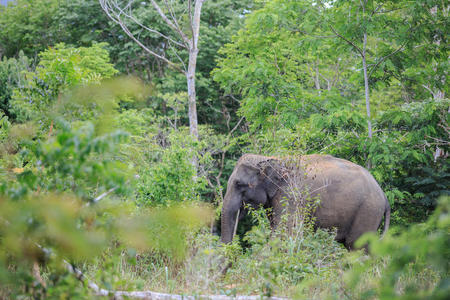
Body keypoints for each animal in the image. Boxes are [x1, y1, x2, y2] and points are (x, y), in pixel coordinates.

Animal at [221, 154, 390, 250]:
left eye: (238, 184)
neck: (273, 159)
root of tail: (384, 196)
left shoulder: (290, 194)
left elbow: (284, 231)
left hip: (367, 211)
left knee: (356, 247)